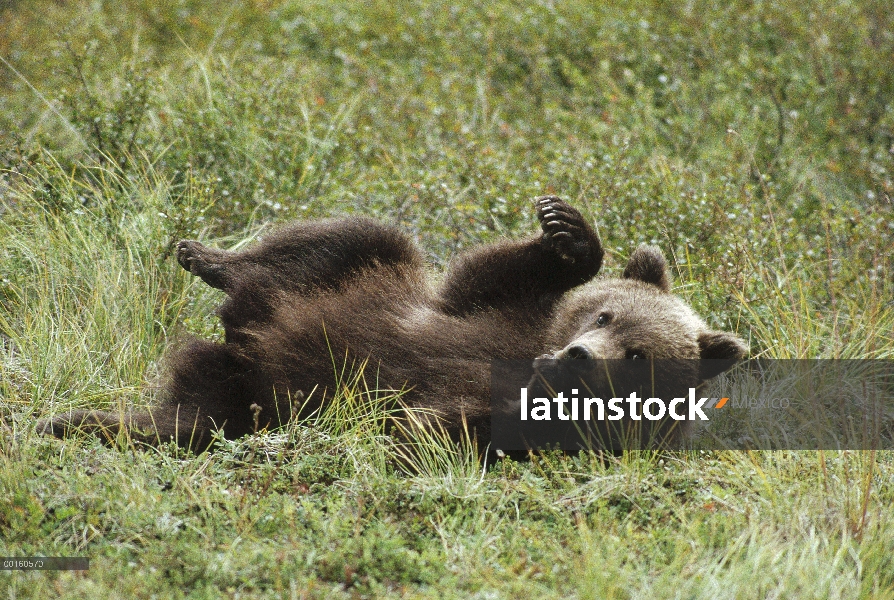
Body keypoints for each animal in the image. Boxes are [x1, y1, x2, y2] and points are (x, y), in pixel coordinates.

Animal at [36, 198, 748, 454]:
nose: (575, 355)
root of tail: (240, 341)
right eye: (604, 313)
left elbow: (443, 426)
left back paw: (84, 422)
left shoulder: (511, 418)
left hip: (246, 400)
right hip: (359, 280)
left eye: (638, 355)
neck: (528, 365)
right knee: (349, 239)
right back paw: (207, 258)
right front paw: (569, 231)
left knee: (190, 421)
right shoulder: (490, 313)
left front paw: (399, 428)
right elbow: (491, 274)